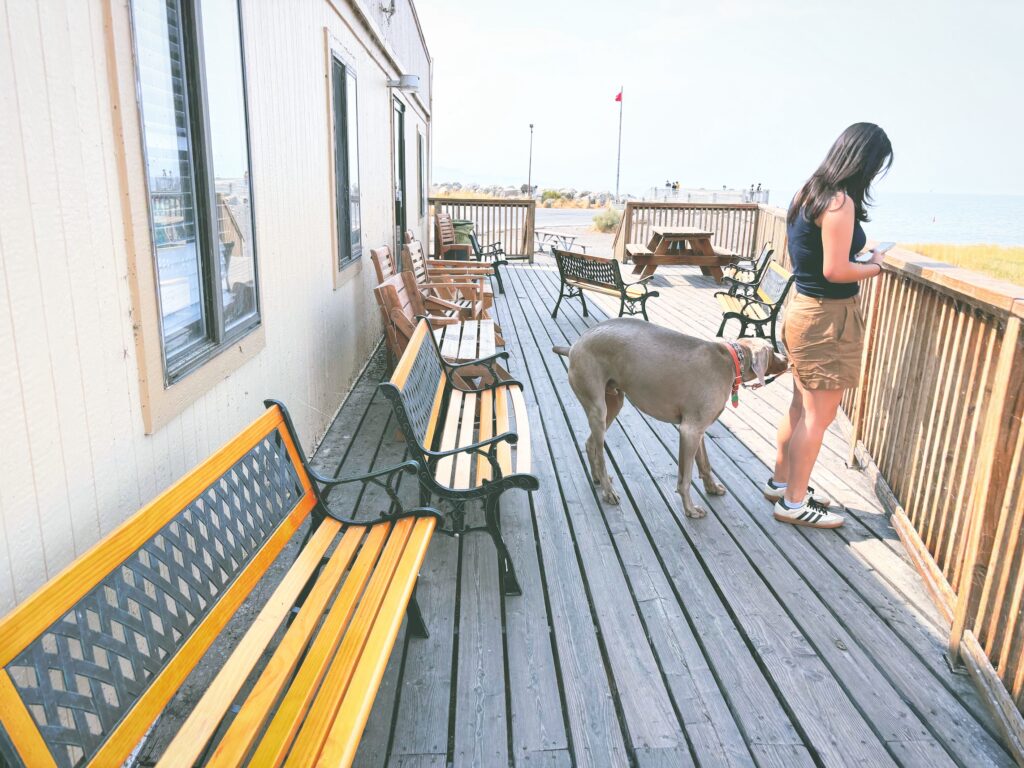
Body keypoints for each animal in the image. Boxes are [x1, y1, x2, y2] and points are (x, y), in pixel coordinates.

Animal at [557, 315, 786, 520]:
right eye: (772, 350)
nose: (787, 360)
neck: (731, 360)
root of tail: (575, 344)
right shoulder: (690, 430)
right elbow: (685, 478)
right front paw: (690, 509)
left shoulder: (698, 429)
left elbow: (705, 464)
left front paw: (711, 487)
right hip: (598, 407)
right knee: (601, 454)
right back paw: (608, 490)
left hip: (613, 403)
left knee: (590, 444)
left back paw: (597, 477)